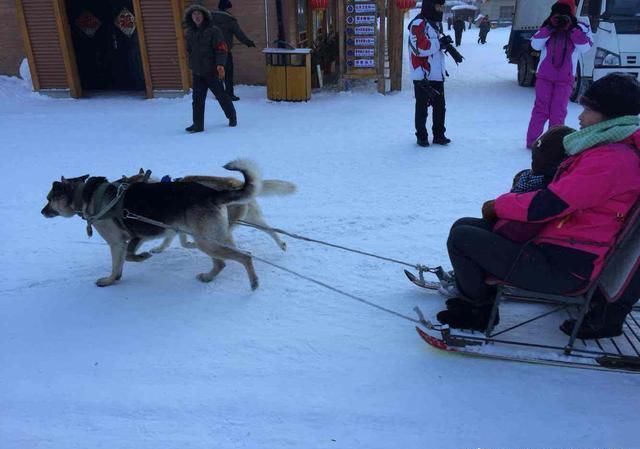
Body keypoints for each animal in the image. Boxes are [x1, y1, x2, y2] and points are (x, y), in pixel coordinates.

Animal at [41, 159, 262, 288]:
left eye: (49, 198)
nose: (42, 212)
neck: (88, 195)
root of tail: (212, 193)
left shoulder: (118, 242)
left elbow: (122, 261)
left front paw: (112, 279)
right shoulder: (136, 238)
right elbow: (127, 257)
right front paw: (136, 261)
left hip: (207, 242)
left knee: (245, 256)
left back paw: (253, 282)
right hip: (212, 239)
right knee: (225, 261)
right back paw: (209, 277)